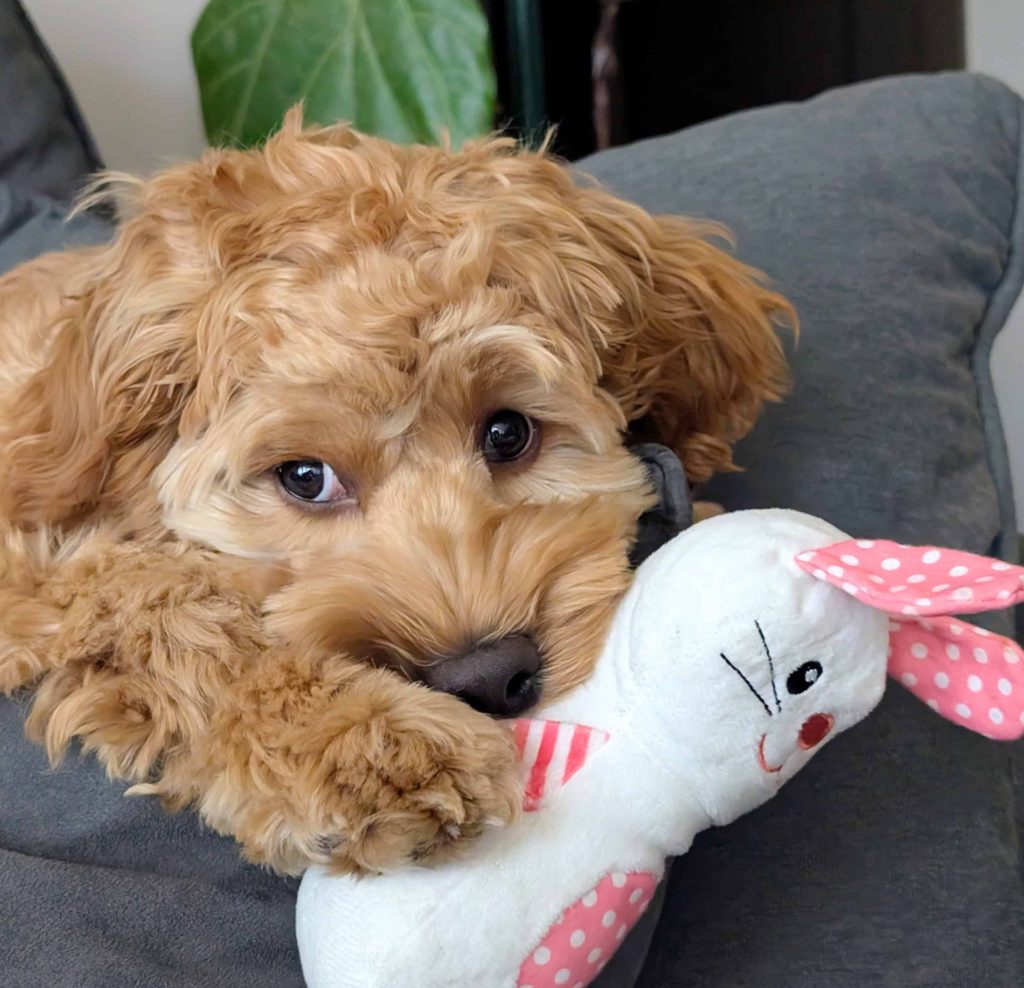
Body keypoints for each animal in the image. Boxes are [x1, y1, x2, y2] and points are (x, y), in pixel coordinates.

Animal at [0, 111, 791, 875]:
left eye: (508, 432)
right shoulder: (36, 567)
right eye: (305, 478)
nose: (487, 676)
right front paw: (363, 743)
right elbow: (159, 601)